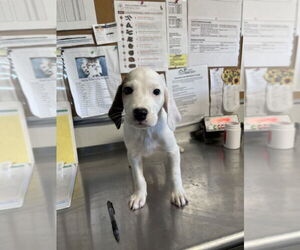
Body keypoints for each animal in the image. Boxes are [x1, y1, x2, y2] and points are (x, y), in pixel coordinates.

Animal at [108, 67, 188, 210]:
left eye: (156, 91)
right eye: (127, 90)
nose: (140, 112)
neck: (147, 132)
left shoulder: (171, 151)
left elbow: (175, 174)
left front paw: (178, 193)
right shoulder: (134, 155)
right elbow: (139, 179)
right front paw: (139, 195)